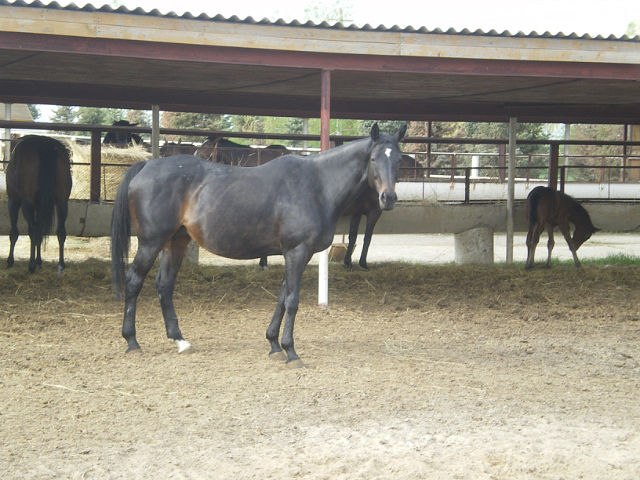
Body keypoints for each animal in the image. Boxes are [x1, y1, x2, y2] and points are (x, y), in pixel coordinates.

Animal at [5, 135, 73, 273]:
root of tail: (43, 144)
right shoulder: (40, 205)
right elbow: (40, 232)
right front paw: (39, 261)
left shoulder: (14, 200)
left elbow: (14, 232)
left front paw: (10, 261)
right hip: (62, 202)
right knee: (60, 232)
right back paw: (61, 264)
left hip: (27, 203)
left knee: (32, 229)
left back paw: (31, 265)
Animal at [111, 123, 407, 364]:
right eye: (373, 159)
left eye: (398, 159)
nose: (388, 198)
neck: (317, 185)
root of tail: (146, 166)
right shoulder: (297, 252)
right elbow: (292, 300)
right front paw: (291, 351)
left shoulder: (295, 253)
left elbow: (282, 297)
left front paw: (274, 344)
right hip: (151, 243)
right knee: (134, 281)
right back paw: (132, 341)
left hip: (176, 242)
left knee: (165, 285)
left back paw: (179, 340)